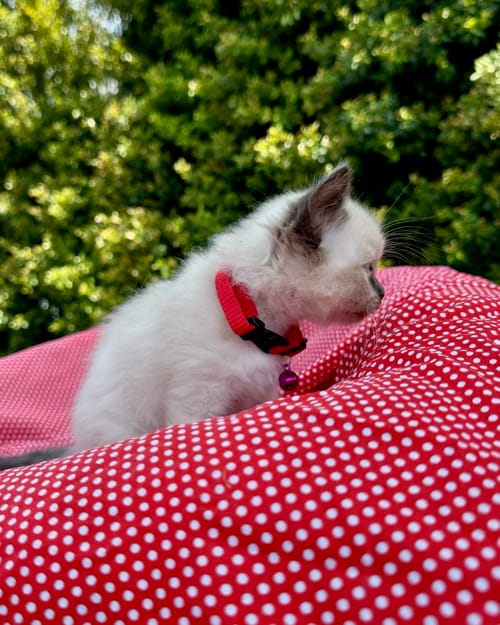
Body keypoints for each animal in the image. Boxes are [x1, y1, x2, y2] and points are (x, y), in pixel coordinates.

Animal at [0, 162, 385, 469]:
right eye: (369, 269)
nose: (382, 293)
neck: (250, 318)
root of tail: (76, 444)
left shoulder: (259, 395)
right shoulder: (197, 397)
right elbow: (195, 435)